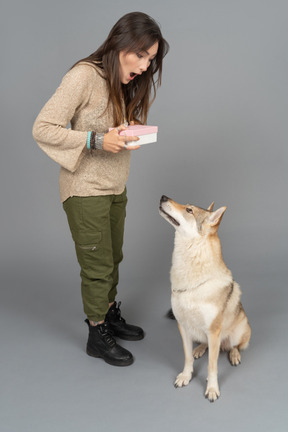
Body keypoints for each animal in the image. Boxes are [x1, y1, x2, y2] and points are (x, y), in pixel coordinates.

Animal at [159, 196, 251, 402]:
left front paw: (212, 389)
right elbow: (187, 358)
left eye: (189, 210)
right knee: (205, 344)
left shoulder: (214, 331)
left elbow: (212, 366)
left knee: (235, 346)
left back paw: (234, 355)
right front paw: (186, 376)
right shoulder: (183, 326)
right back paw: (199, 349)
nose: (163, 197)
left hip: (238, 331)